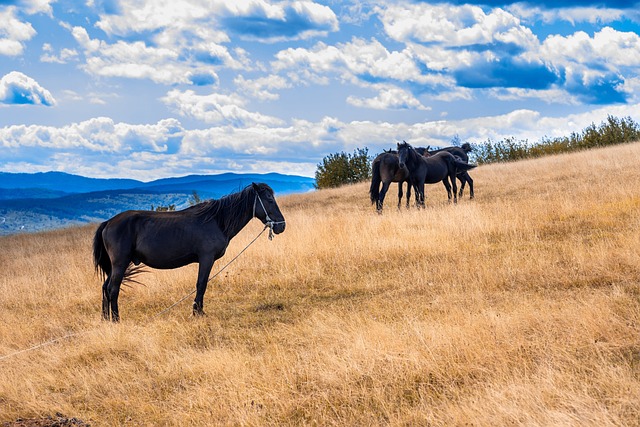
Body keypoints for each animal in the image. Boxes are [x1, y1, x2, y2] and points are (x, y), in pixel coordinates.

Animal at [93, 183, 284, 320]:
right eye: (269, 199)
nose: (281, 225)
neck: (217, 220)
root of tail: (108, 223)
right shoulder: (206, 258)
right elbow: (201, 284)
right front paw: (198, 313)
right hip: (120, 264)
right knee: (113, 289)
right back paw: (116, 319)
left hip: (115, 266)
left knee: (105, 288)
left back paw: (106, 319)